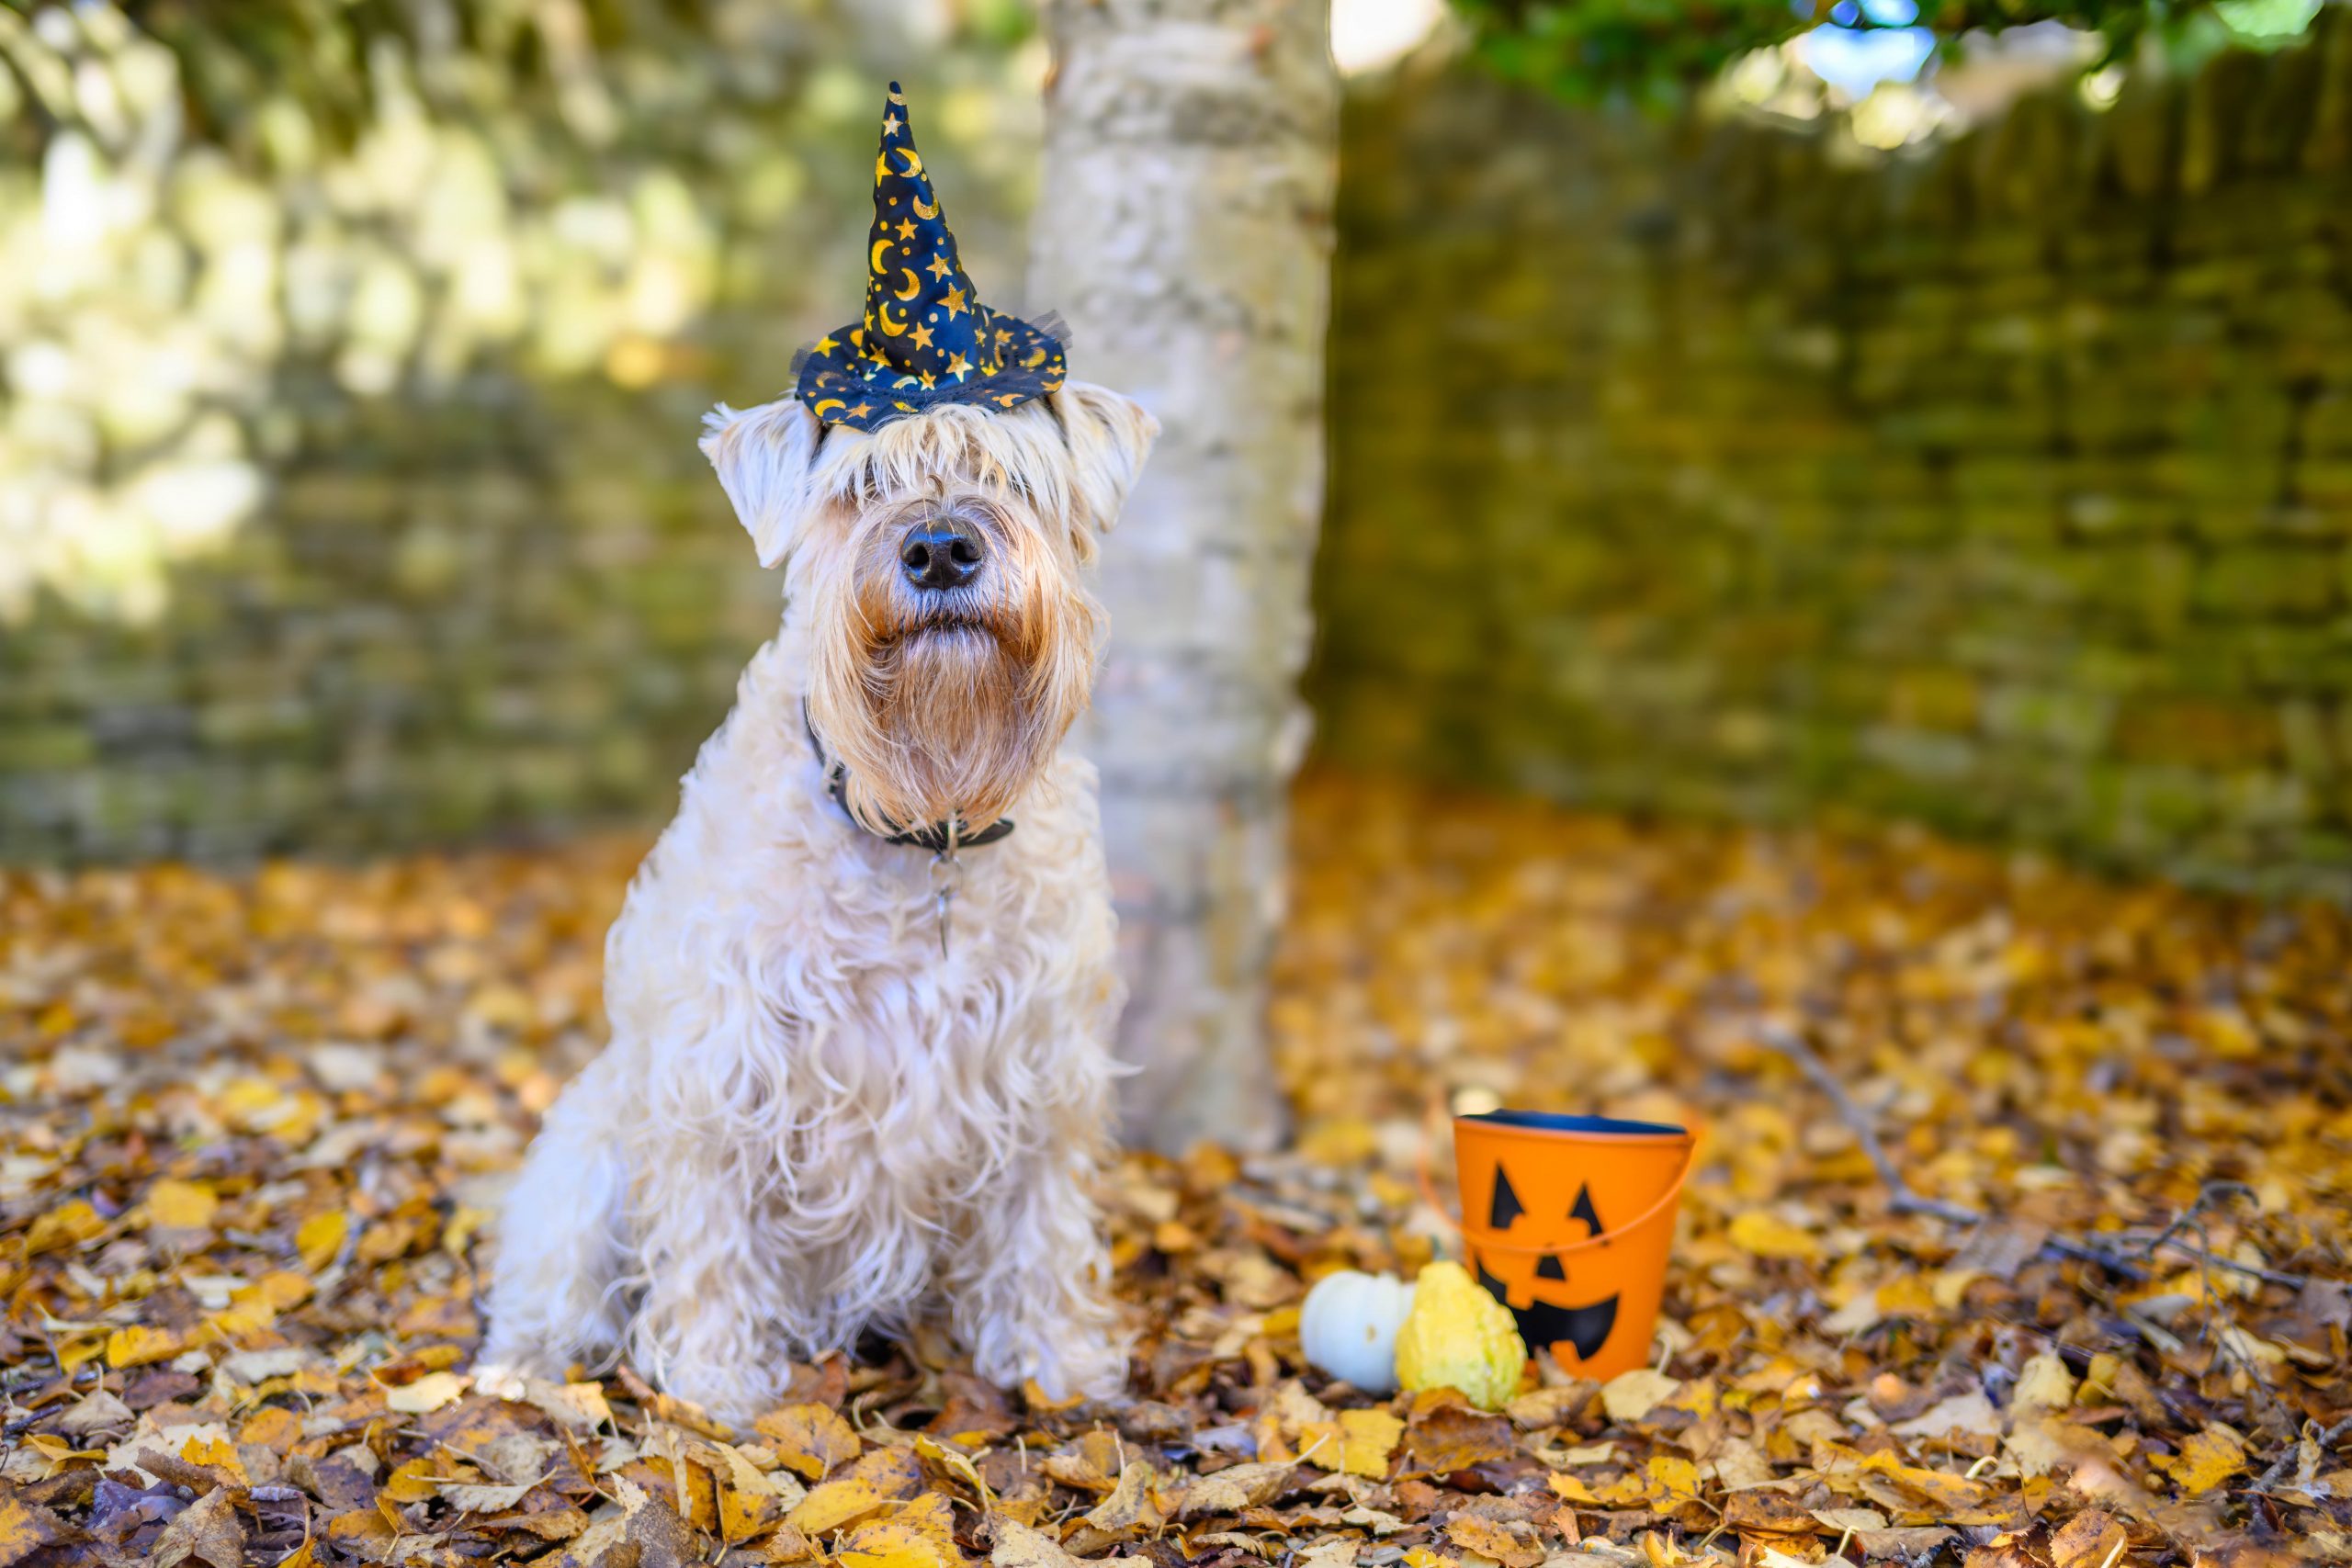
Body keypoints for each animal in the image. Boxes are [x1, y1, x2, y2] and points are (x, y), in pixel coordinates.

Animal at [484, 385, 1157, 1429]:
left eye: (1009, 474)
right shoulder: (721, 1073)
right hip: (588, 1161)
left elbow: (1039, 1227)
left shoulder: (1040, 1070)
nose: (939, 548)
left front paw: (1060, 1363)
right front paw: (716, 1387)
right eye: (862, 485)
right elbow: (712, 1242)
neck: (921, 828)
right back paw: (519, 1370)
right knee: (554, 1280)